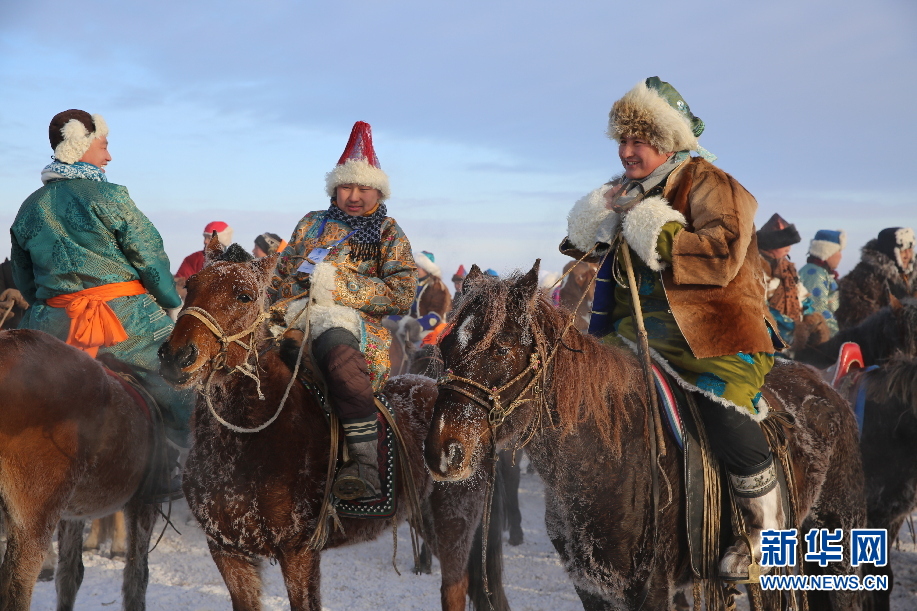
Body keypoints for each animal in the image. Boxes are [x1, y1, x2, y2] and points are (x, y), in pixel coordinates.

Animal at [0, 330, 157, 611]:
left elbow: (70, 574)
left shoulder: (73, 511)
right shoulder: (145, 503)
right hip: (36, 512)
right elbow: (136, 578)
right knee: (18, 585)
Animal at [159, 246, 508, 611]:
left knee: (455, 587)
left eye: (244, 295)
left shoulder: (298, 553)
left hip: (454, 521)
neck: (245, 441)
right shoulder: (227, 552)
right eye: (190, 286)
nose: (178, 356)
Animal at [422, 262, 864, 611]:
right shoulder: (593, 590)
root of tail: (826, 389)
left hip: (840, 536)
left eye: (499, 349)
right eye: (445, 347)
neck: (606, 460)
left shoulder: (650, 590)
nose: (443, 451)